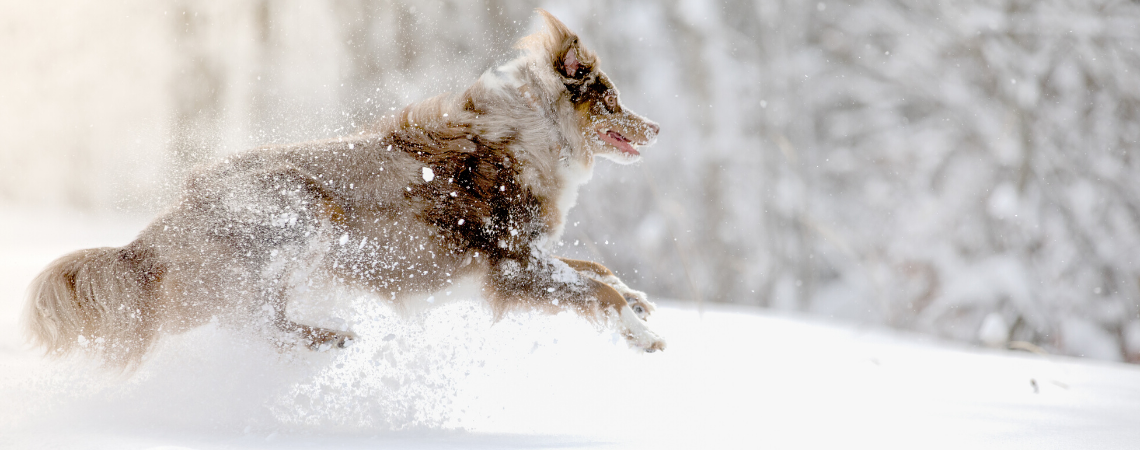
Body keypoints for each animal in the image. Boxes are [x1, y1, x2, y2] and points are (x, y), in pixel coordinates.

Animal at [22, 9, 665, 369]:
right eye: (613, 100)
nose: (658, 129)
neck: (532, 134)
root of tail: (159, 230)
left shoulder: (530, 255)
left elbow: (598, 271)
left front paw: (641, 302)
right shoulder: (511, 265)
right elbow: (593, 287)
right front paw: (641, 336)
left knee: (254, 320)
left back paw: (328, 338)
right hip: (302, 214)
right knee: (253, 319)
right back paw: (332, 336)